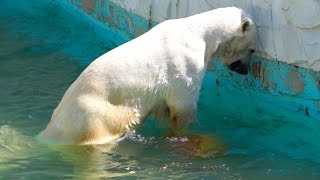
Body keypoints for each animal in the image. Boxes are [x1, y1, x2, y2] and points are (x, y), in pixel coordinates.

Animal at [38, 6, 256, 145]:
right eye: (252, 50)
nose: (243, 70)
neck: (199, 31)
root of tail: (55, 125)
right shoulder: (186, 64)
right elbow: (183, 106)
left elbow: (163, 108)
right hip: (94, 116)